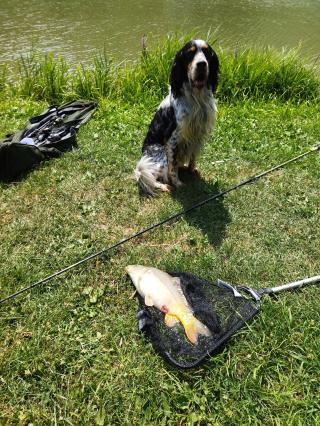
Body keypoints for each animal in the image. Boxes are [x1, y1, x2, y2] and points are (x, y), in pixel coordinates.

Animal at [134, 38, 219, 195]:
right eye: (190, 54)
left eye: (206, 52)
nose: (202, 64)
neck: (196, 98)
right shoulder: (173, 138)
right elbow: (172, 168)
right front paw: (178, 184)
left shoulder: (198, 133)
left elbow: (193, 157)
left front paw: (192, 170)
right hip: (158, 154)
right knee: (148, 176)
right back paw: (164, 186)